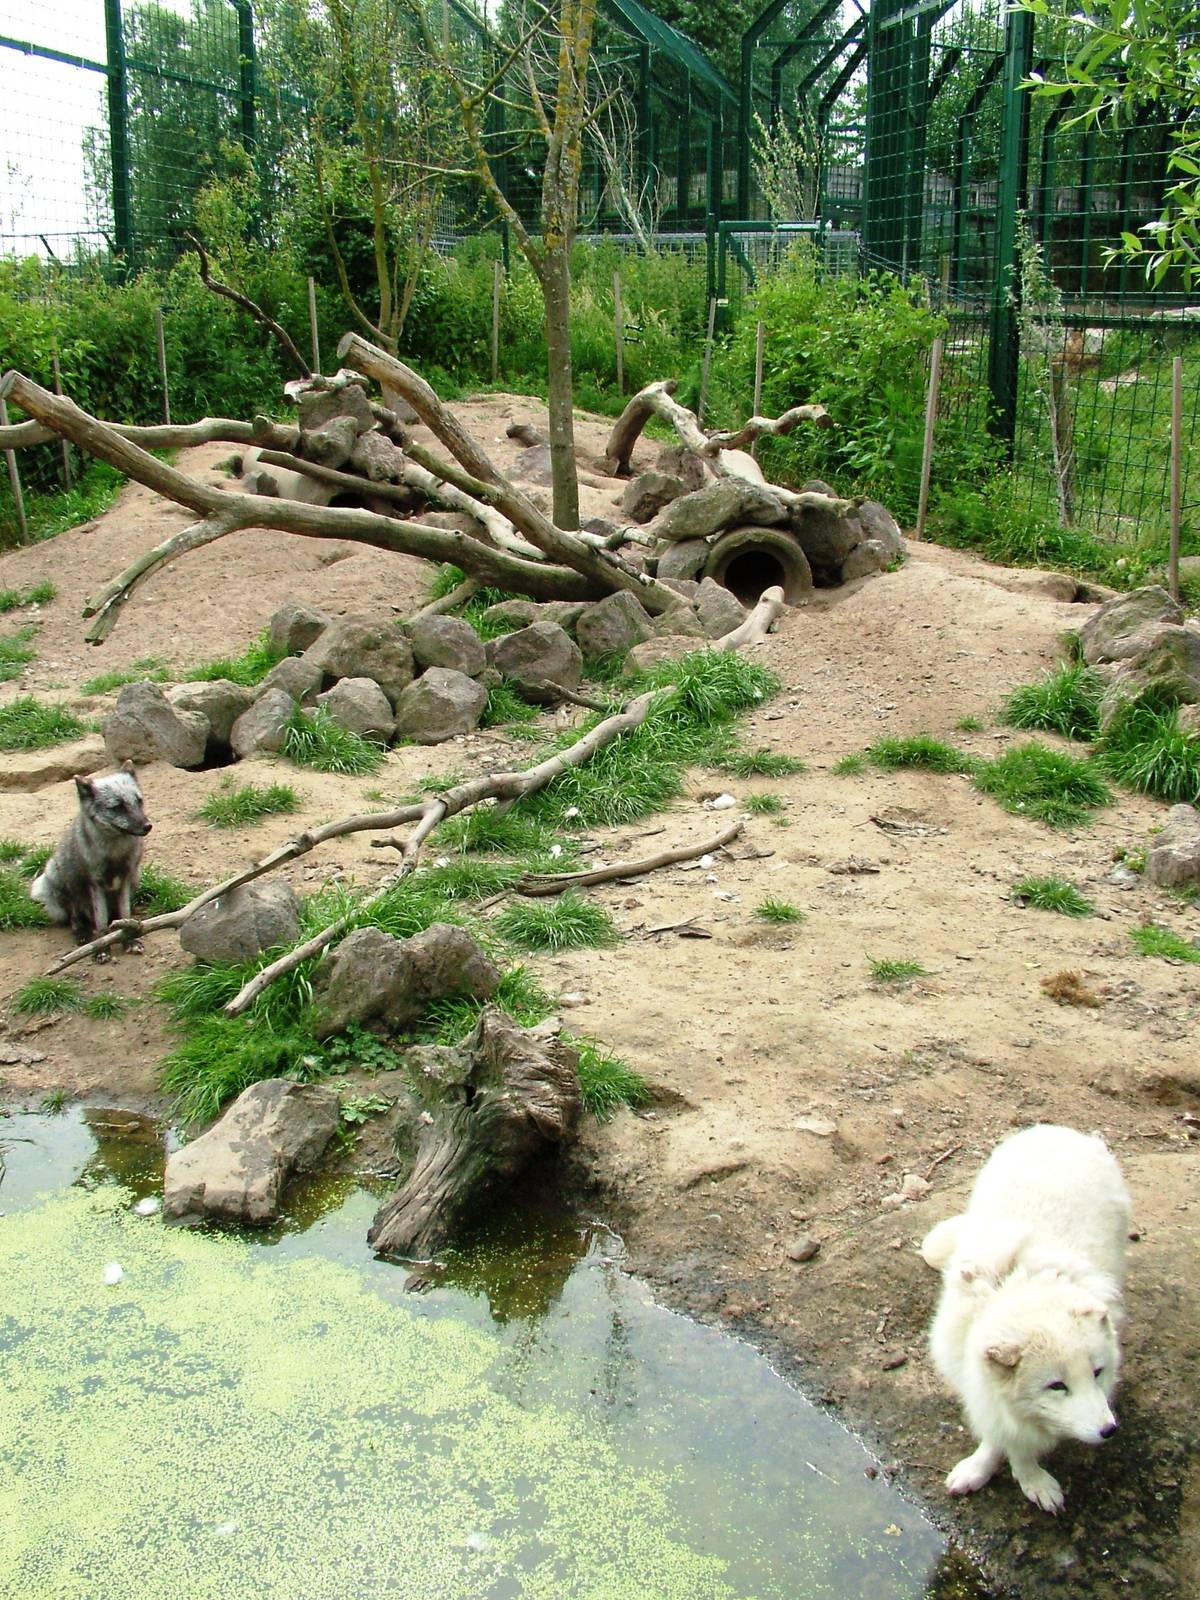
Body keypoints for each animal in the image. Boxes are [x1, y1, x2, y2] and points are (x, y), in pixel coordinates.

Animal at [30, 762, 152, 961]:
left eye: (139, 801)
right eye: (118, 806)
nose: (148, 826)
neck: (114, 853)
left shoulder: (126, 879)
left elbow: (124, 912)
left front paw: (129, 938)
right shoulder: (95, 884)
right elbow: (100, 922)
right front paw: (102, 949)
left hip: (137, 877)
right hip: (60, 878)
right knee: (74, 914)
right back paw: (82, 932)